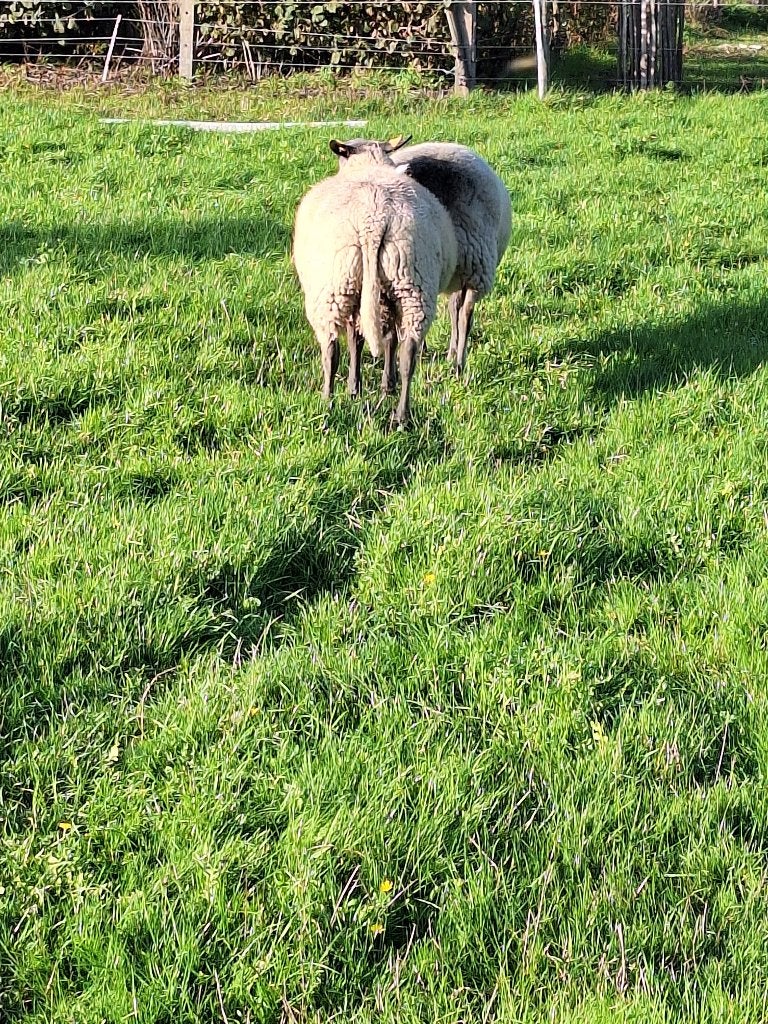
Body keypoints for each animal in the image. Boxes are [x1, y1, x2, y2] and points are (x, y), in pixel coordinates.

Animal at [292, 138, 458, 426]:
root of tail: (374, 220)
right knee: (408, 351)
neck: (369, 165)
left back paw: (327, 402)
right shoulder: (382, 296)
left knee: (331, 349)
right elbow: (388, 338)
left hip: (334, 287)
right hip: (412, 284)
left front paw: (354, 388)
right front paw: (386, 385)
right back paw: (401, 415)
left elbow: (354, 339)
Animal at [334, 138, 511, 374]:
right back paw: (453, 358)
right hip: (469, 262)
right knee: (458, 310)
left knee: (463, 313)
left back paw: (457, 362)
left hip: (475, 264)